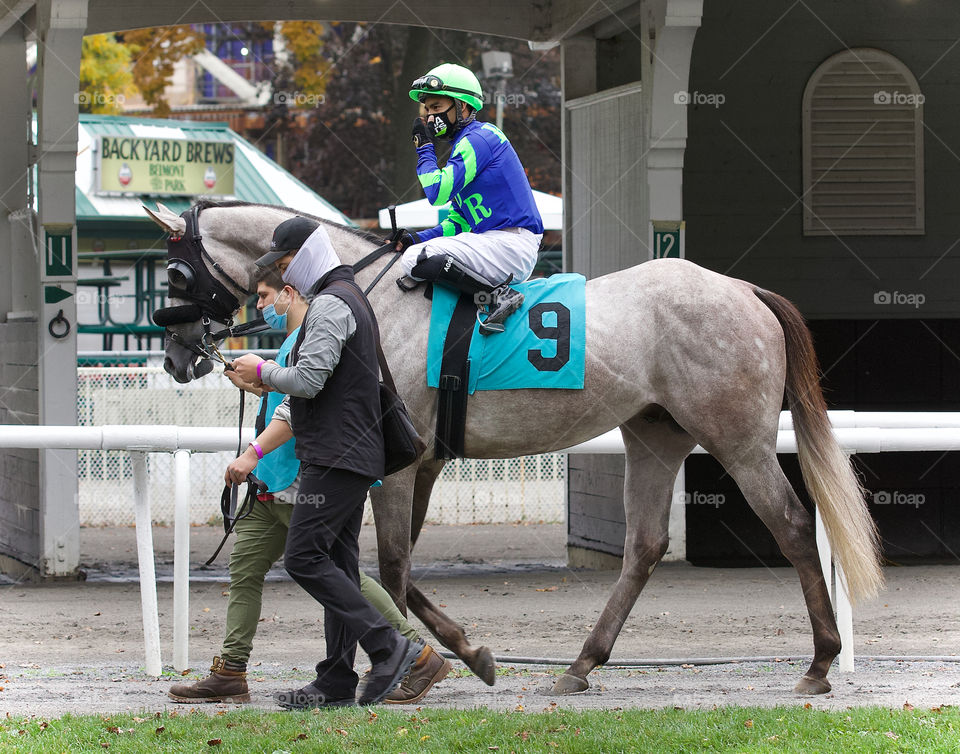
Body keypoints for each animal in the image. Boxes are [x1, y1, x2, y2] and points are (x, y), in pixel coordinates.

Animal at [148, 200, 884, 692]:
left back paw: (820, 661)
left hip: (738, 440)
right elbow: (389, 571)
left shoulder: (401, 466)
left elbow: (392, 569)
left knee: (793, 525)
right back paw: (581, 665)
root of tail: (744, 289)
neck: (368, 292)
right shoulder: (422, 465)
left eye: (176, 276)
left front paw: (424, 663)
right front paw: (451, 656)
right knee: (644, 546)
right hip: (654, 434)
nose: (178, 358)